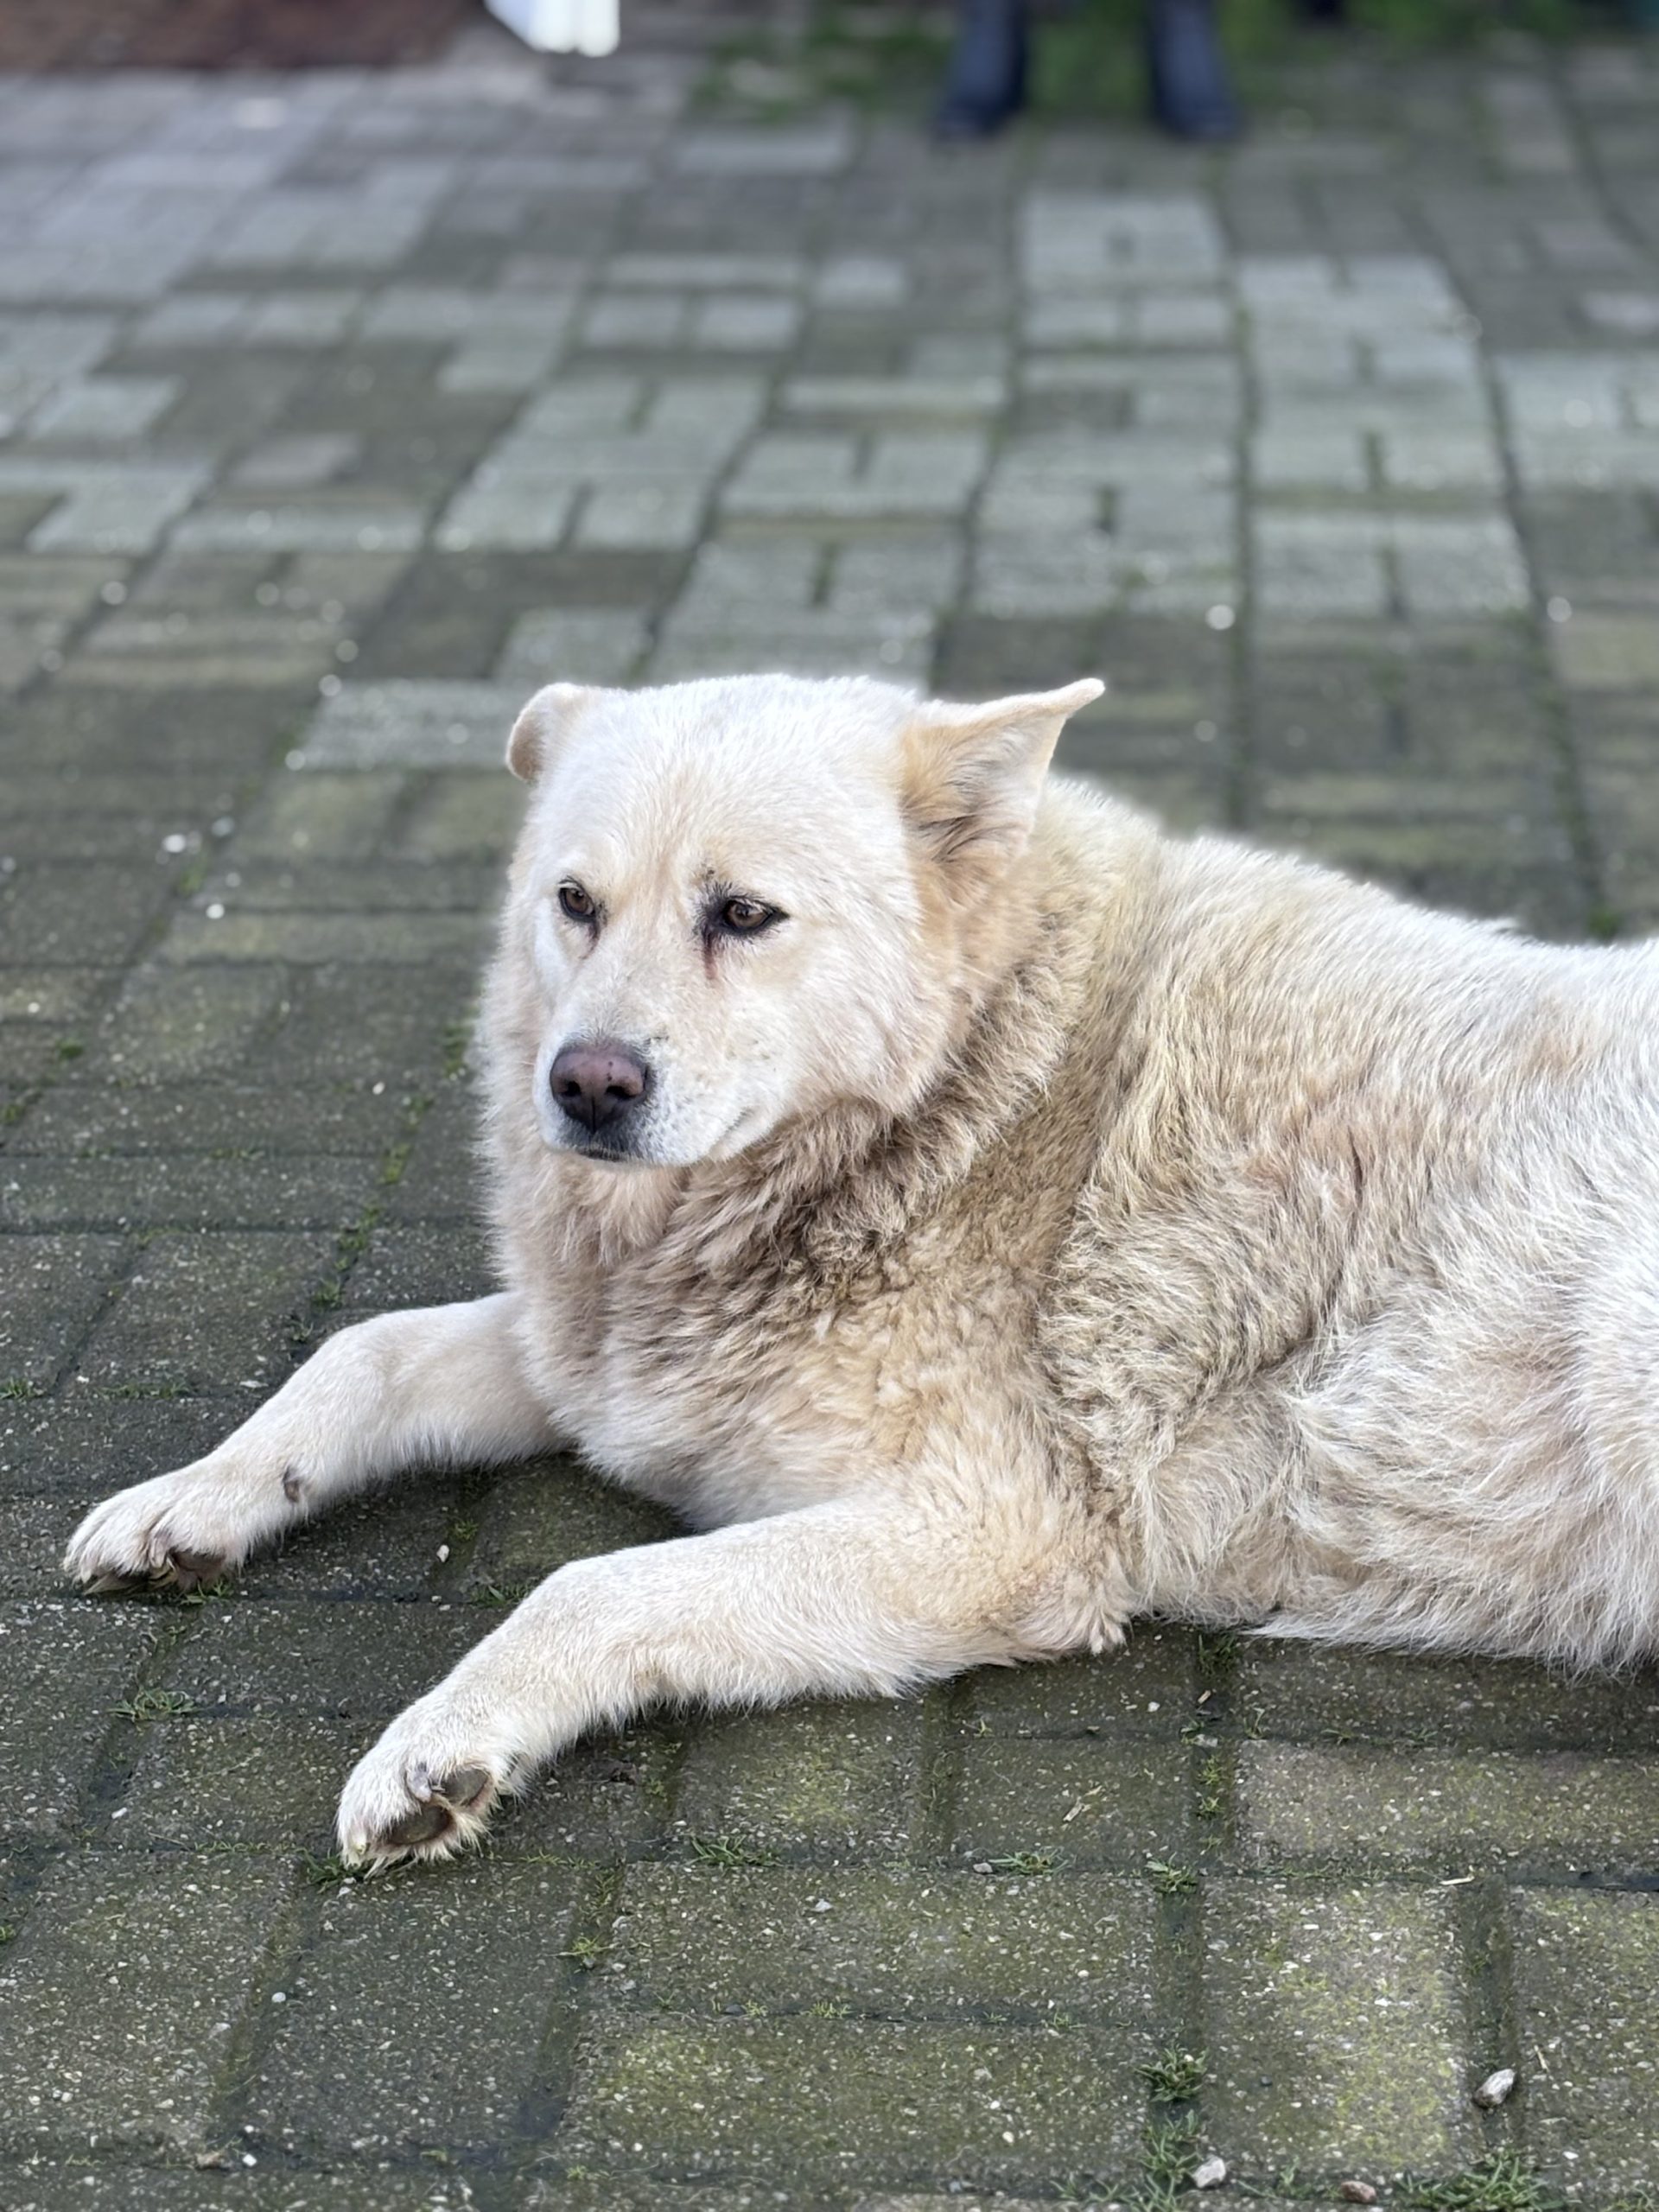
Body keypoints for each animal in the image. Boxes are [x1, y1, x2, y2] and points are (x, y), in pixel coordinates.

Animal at [65, 670, 1659, 1866]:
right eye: (574, 902)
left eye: (743, 914)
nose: (586, 1087)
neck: (971, 1092)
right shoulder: (608, 1370)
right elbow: (366, 1350)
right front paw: (190, 1502)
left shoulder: (998, 1532)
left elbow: (590, 1586)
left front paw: (443, 1747)